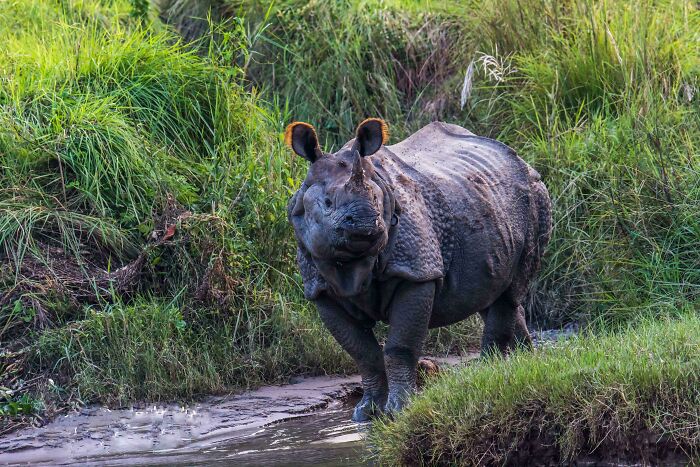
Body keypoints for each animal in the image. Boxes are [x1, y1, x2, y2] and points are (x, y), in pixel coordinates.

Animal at [286, 119, 552, 422]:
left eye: (377, 200)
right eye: (328, 203)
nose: (366, 222)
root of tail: (521, 161)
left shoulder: (415, 272)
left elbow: (400, 346)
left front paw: (399, 410)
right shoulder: (320, 291)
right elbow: (362, 353)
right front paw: (365, 414)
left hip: (535, 195)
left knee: (509, 293)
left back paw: (488, 375)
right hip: (490, 201)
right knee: (495, 292)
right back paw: (522, 364)